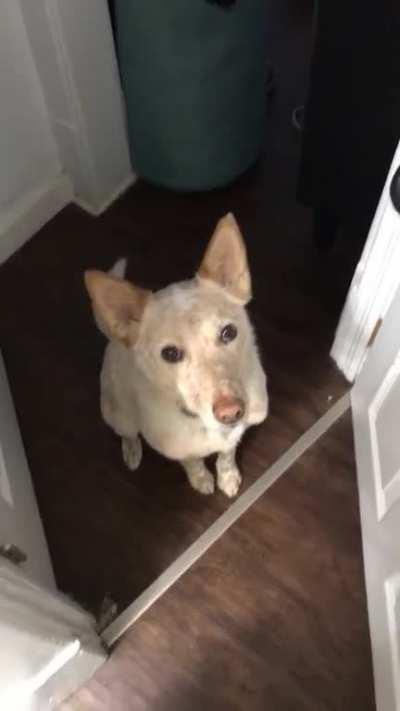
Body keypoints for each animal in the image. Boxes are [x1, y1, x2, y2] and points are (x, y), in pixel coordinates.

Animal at [84, 214, 268, 498]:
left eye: (228, 332)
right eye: (170, 354)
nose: (230, 412)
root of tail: (115, 341)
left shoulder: (236, 433)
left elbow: (226, 455)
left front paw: (227, 475)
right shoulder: (180, 449)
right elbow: (193, 463)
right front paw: (201, 479)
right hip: (119, 415)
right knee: (128, 433)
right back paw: (131, 449)